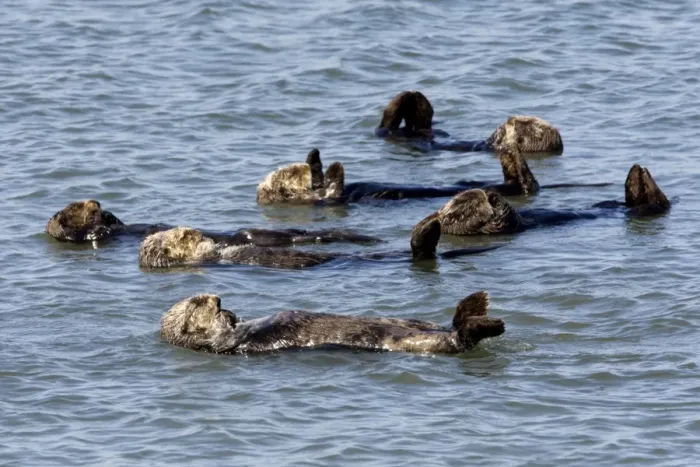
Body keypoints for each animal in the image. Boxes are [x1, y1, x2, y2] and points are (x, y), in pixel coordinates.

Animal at [376, 90, 564, 154]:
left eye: (523, 122)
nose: (510, 118)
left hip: (390, 132)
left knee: (389, 123)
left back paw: (410, 98)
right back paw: (417, 98)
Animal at [417, 164, 671, 236]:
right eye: (462, 209)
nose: (477, 193)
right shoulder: (501, 226)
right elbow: (503, 217)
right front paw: (494, 199)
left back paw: (635, 174)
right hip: (647, 209)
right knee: (656, 205)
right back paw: (641, 177)